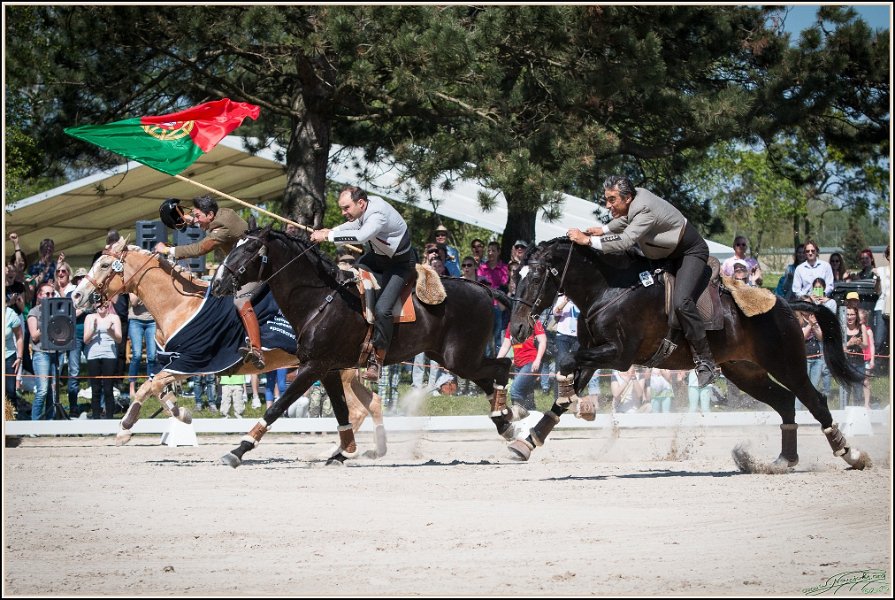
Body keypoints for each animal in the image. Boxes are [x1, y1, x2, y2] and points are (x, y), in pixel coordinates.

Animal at [70, 237, 388, 457]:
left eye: (105, 265)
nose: (76, 296)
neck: (180, 305)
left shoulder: (194, 361)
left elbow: (150, 386)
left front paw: (125, 429)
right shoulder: (176, 362)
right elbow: (156, 387)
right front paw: (180, 414)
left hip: (334, 369)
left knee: (357, 410)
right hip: (341, 371)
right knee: (371, 403)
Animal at [209, 225, 519, 468]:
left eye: (250, 249)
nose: (218, 283)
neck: (322, 299)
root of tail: (484, 289)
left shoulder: (312, 367)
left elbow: (277, 408)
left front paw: (239, 449)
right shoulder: (328, 370)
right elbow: (342, 412)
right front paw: (344, 452)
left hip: (461, 358)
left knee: (503, 367)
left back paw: (506, 416)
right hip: (448, 357)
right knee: (490, 379)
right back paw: (507, 424)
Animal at [508, 237, 870, 470]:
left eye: (536, 277)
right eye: (515, 276)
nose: (517, 329)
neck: (607, 290)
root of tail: (787, 304)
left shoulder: (617, 355)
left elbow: (566, 361)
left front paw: (570, 400)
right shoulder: (595, 354)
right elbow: (563, 389)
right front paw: (528, 440)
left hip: (786, 363)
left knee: (815, 401)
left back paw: (850, 454)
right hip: (745, 371)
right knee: (784, 402)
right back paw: (783, 460)